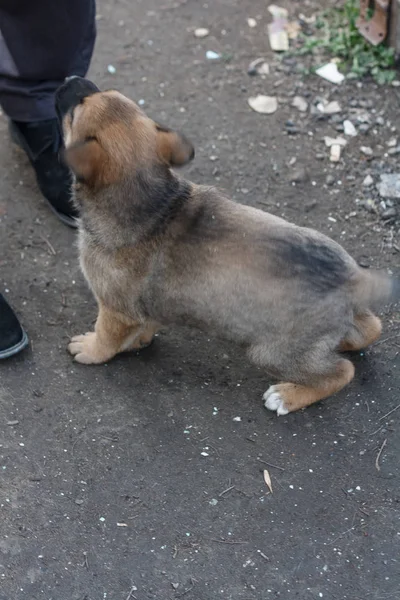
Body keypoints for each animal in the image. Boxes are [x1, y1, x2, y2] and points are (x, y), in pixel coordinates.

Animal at [54, 77, 398, 414]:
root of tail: (352, 280)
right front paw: (139, 340)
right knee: (370, 328)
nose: (68, 79)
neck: (151, 202)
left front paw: (90, 349)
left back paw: (288, 396)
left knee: (341, 372)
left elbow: (106, 338)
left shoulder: (115, 310)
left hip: (270, 352)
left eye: (75, 110)